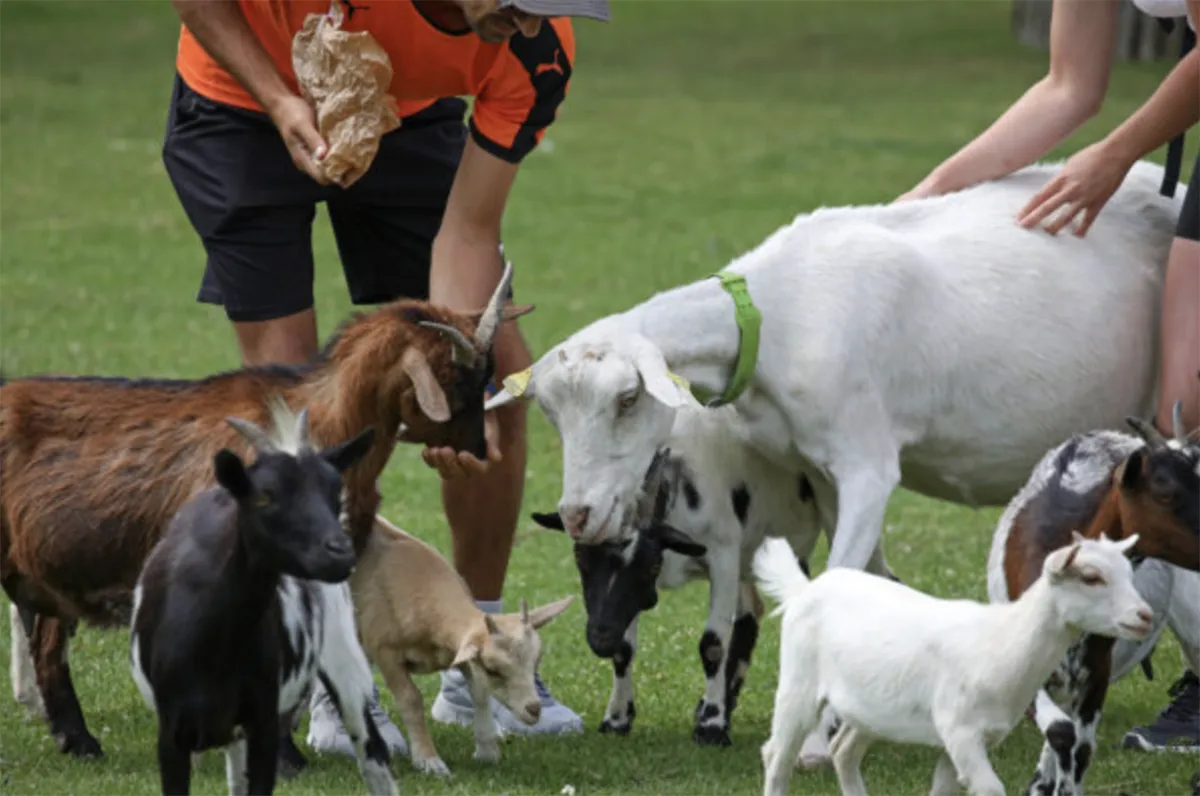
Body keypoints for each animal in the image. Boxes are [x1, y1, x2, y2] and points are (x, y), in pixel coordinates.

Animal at [129, 398, 396, 796]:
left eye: (336, 493)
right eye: (264, 497)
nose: (340, 553)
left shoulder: (264, 723)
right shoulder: (173, 734)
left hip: (341, 652)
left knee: (372, 751)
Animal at [484, 160, 1180, 768]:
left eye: (628, 399)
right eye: (550, 413)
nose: (580, 514)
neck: (778, 317)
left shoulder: (868, 465)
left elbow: (837, 580)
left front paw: (818, 741)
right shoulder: (819, 474)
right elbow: (869, 580)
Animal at [753, 533, 1156, 796]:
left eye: (1129, 573)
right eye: (1091, 577)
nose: (1145, 616)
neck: (1001, 643)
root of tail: (804, 589)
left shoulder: (962, 738)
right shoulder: (960, 730)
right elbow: (991, 789)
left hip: (870, 707)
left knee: (843, 751)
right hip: (798, 685)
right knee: (776, 756)